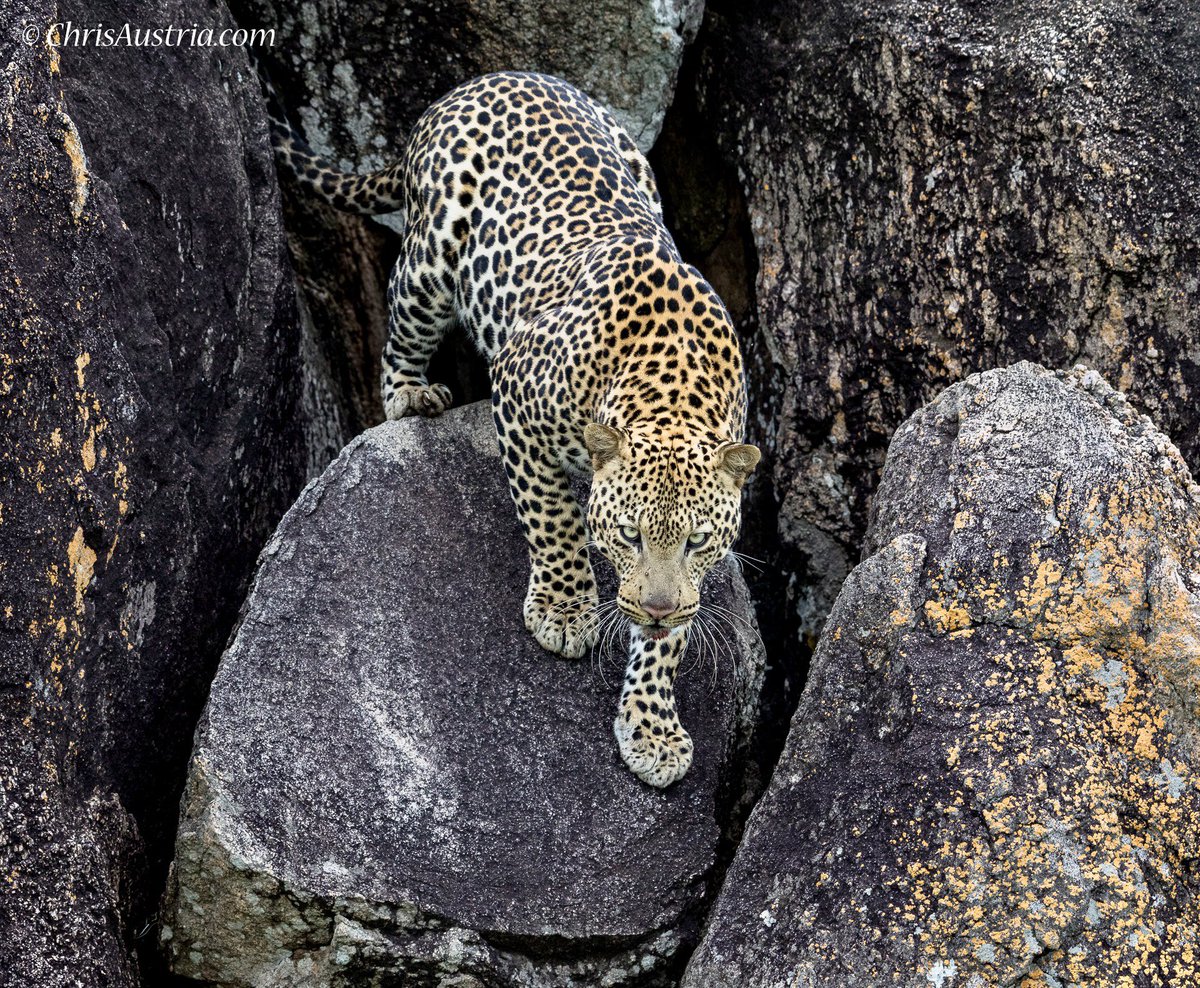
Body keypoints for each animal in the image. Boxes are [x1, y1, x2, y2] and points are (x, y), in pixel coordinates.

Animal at [271, 67, 758, 787]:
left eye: (697, 540)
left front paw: (652, 727)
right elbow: (554, 521)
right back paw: (410, 393)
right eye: (629, 535)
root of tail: (480, 81)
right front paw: (564, 609)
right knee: (405, 319)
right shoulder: (519, 400)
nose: (659, 610)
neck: (671, 393)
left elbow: (668, 639)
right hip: (432, 258)